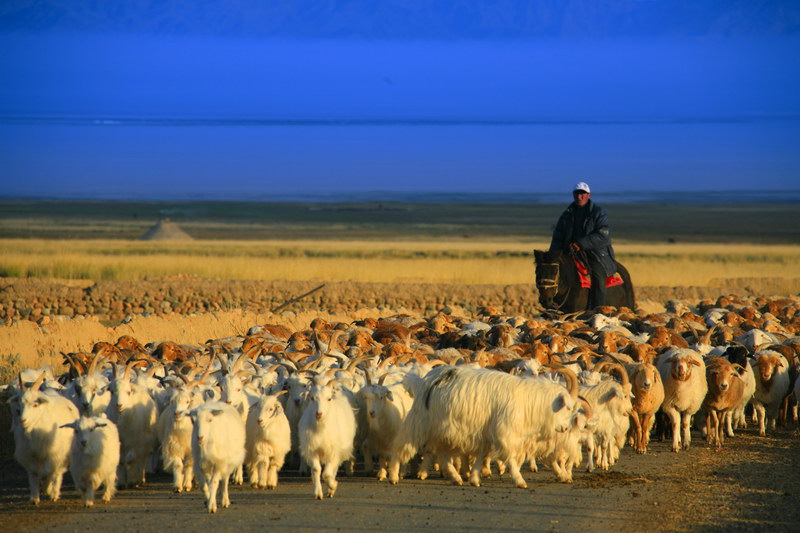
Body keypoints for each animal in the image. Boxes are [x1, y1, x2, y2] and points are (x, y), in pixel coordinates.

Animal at [12, 370, 79, 502]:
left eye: (35, 405)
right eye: (19, 406)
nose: (23, 420)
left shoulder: (53, 454)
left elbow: (48, 472)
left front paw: (47, 490)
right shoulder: (29, 454)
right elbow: (34, 474)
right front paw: (34, 497)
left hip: (63, 454)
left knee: (57, 472)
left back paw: (54, 493)